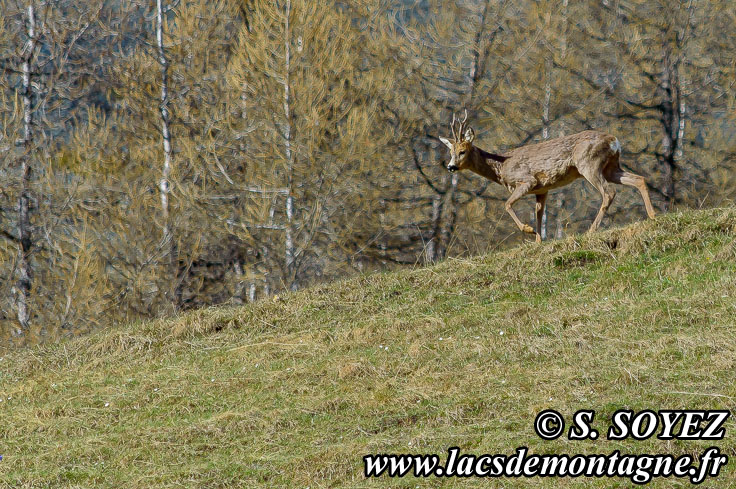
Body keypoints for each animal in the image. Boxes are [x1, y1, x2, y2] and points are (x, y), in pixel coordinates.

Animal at [440, 109, 660, 241]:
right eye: (450, 152)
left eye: (463, 151)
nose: (451, 167)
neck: (501, 168)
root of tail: (614, 140)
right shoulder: (542, 189)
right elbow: (539, 213)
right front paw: (538, 239)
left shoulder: (527, 180)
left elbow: (507, 204)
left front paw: (528, 230)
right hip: (611, 167)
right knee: (639, 179)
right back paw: (653, 215)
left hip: (588, 164)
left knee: (609, 192)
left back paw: (591, 230)